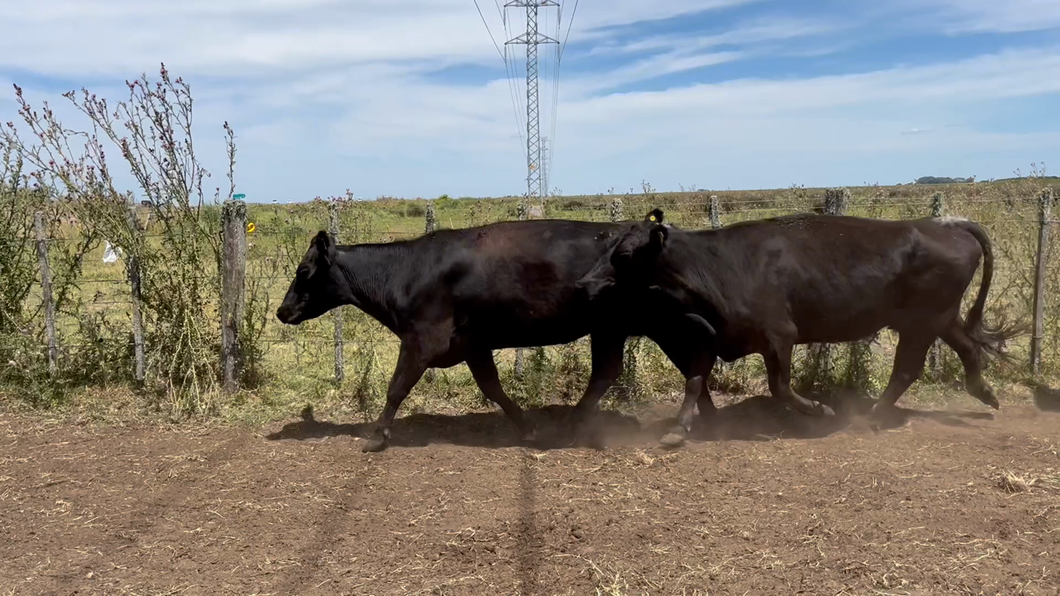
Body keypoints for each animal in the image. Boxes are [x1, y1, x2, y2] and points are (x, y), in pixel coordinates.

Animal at [275, 217, 716, 453]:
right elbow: (493, 388)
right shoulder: (473, 344)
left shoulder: (422, 340)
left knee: (675, 363)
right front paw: (527, 427)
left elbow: (396, 388)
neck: (406, 272)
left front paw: (376, 436)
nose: (282, 310)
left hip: (637, 324)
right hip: (624, 327)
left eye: (303, 271)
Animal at [576, 209, 1023, 447]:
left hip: (922, 322)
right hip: (939, 317)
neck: (716, 267)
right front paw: (679, 429)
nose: (584, 284)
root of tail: (943, 223)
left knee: (909, 368)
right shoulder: (712, 335)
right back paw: (985, 393)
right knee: (968, 346)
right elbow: (696, 379)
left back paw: (873, 415)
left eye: (624, 255)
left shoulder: (779, 336)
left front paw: (819, 410)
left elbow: (780, 386)